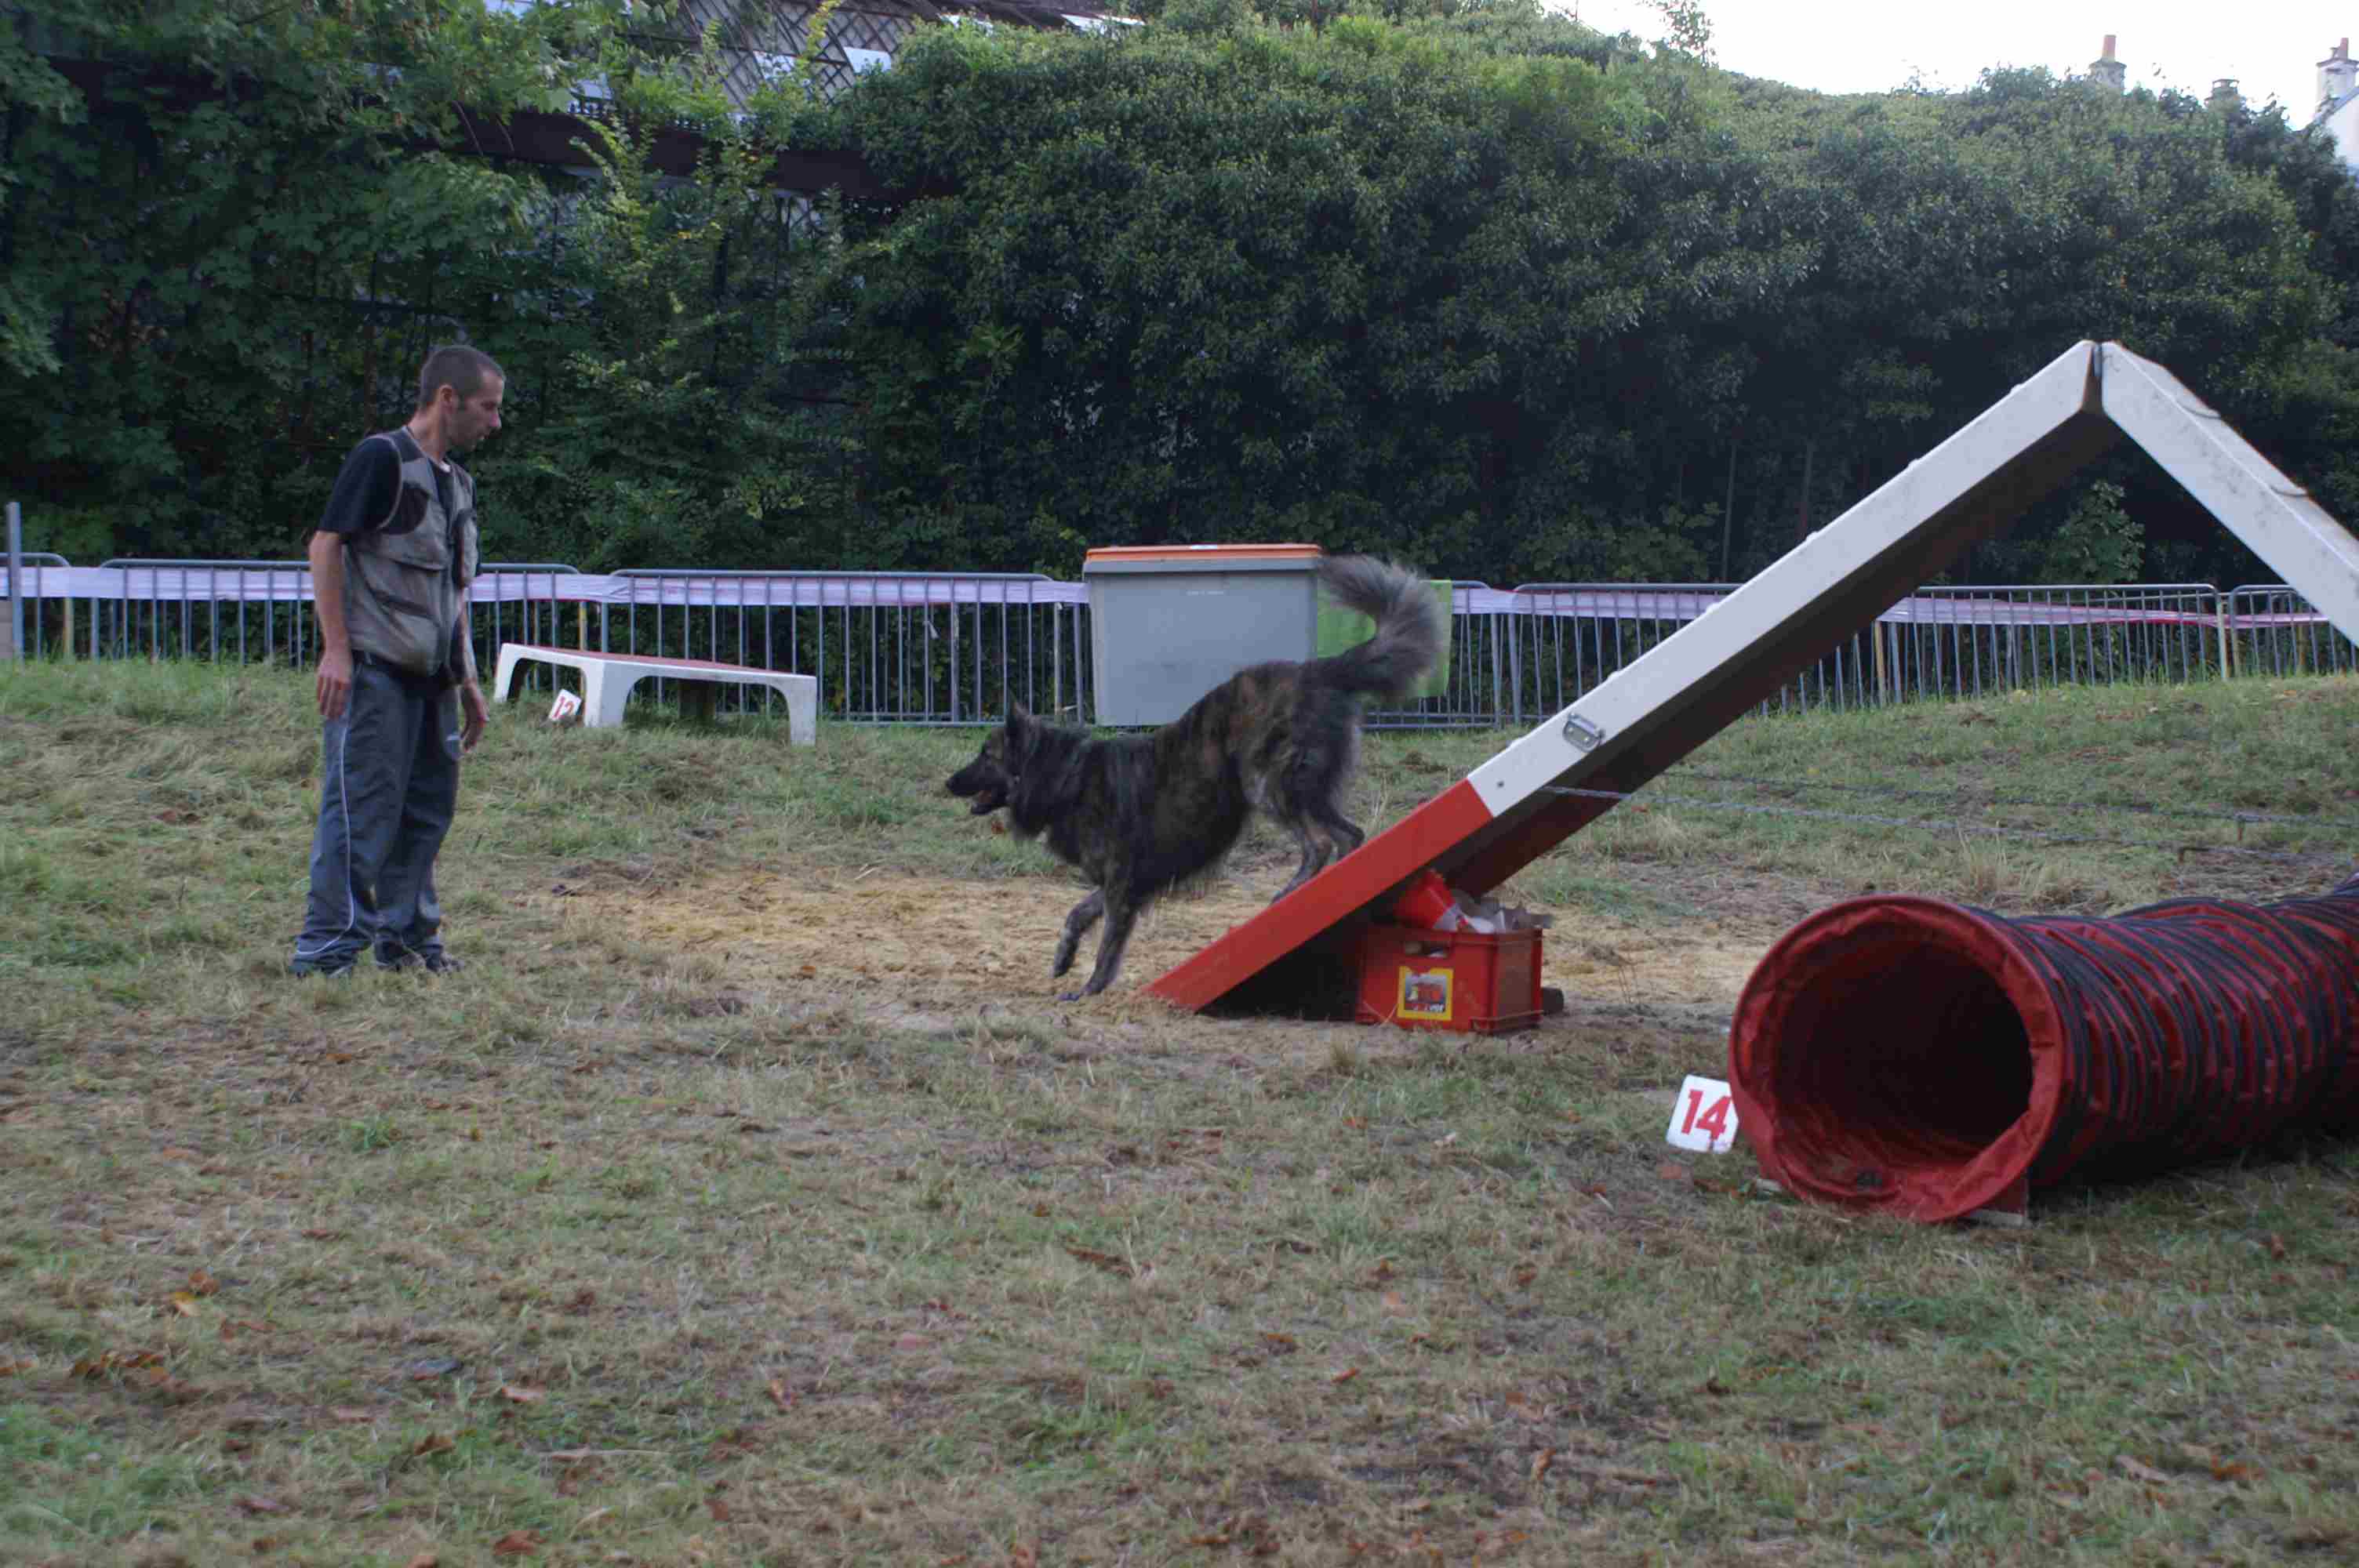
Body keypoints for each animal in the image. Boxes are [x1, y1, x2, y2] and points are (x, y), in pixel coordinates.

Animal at [946, 555, 1445, 998]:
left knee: (1320, 842)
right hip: (1304, 791)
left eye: (985, 755)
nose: (949, 782)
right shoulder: (1123, 881)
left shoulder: (1123, 883)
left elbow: (1107, 945)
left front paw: (1088, 990)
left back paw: (1288, 894)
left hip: (1265, 785)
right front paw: (1064, 957)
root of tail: (1317, 671)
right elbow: (1077, 913)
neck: (1068, 778)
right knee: (1349, 836)